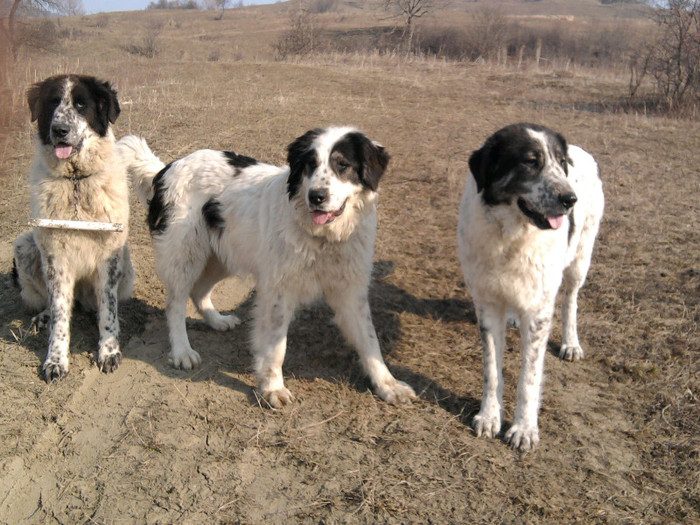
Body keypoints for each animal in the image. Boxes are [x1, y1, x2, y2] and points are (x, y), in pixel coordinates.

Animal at [13, 74, 134, 382]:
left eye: (81, 105)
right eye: (53, 102)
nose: (59, 129)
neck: (77, 182)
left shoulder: (109, 258)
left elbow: (108, 310)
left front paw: (109, 350)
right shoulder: (56, 259)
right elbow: (59, 317)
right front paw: (55, 360)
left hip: (126, 264)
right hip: (25, 247)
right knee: (53, 303)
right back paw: (43, 316)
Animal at [117, 126, 416, 407]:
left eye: (342, 165)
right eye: (310, 165)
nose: (316, 196)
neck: (324, 239)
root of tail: (166, 168)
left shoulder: (351, 291)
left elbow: (370, 342)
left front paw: (388, 384)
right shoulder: (278, 290)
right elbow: (275, 346)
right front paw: (272, 387)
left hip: (223, 255)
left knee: (199, 291)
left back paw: (217, 320)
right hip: (186, 255)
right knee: (176, 304)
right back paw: (181, 351)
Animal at [457, 123, 604, 450]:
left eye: (560, 163)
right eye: (530, 161)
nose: (569, 199)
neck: (511, 236)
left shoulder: (538, 311)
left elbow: (529, 377)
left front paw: (524, 428)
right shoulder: (487, 304)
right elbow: (491, 370)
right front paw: (490, 416)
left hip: (580, 260)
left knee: (571, 300)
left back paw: (571, 343)